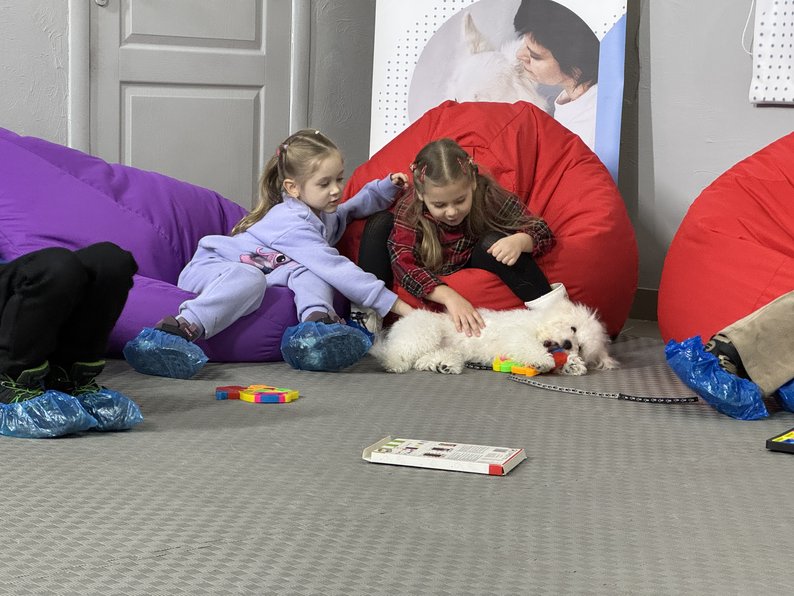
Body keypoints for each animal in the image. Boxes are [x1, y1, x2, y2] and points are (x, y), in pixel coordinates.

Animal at [371, 298, 619, 375]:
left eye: (581, 347)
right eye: (574, 329)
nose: (567, 344)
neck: (538, 327)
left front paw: (573, 364)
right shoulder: (517, 336)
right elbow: (529, 347)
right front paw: (543, 360)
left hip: (443, 348)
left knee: (425, 359)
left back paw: (443, 365)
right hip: (425, 332)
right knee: (397, 353)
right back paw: (394, 363)